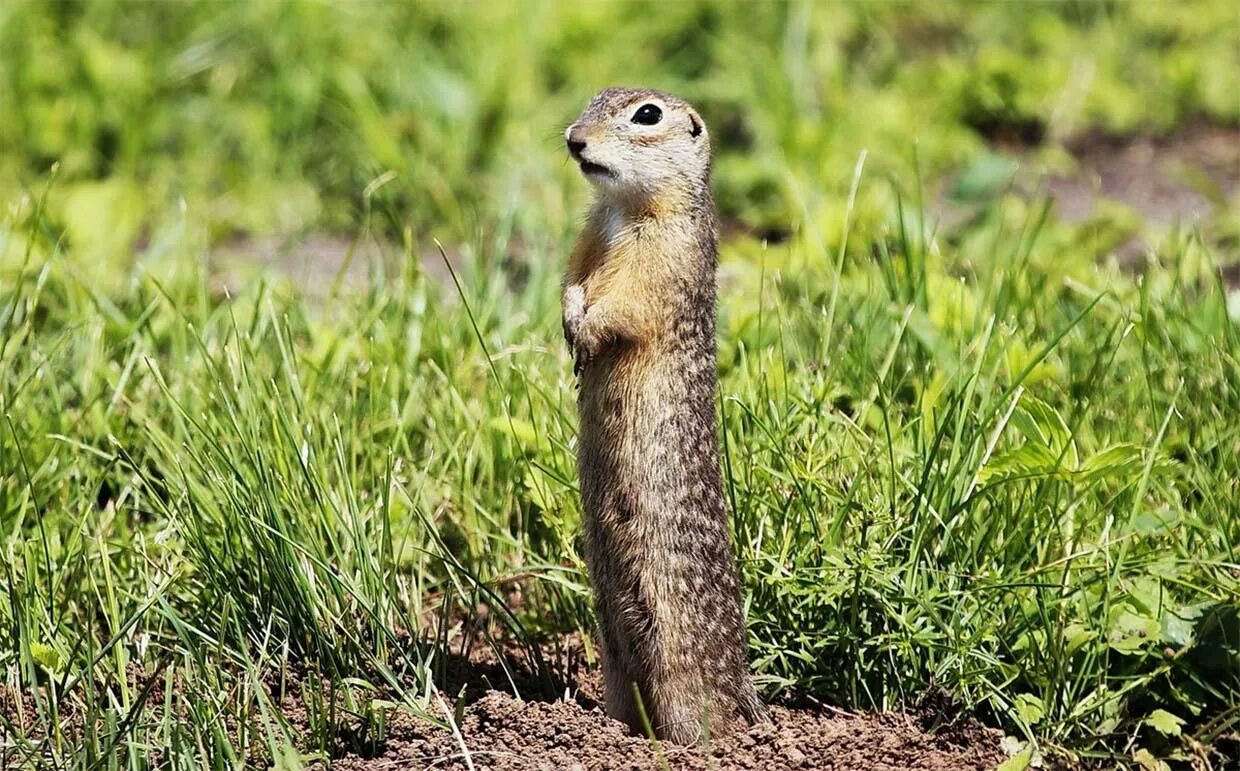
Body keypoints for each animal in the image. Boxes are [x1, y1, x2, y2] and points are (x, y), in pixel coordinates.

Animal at [562, 87, 763, 748]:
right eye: (592, 98)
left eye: (646, 115)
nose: (573, 139)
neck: (622, 209)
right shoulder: (586, 236)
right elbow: (572, 279)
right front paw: (569, 321)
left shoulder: (663, 258)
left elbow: (625, 304)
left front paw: (586, 335)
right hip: (612, 649)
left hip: (675, 662)